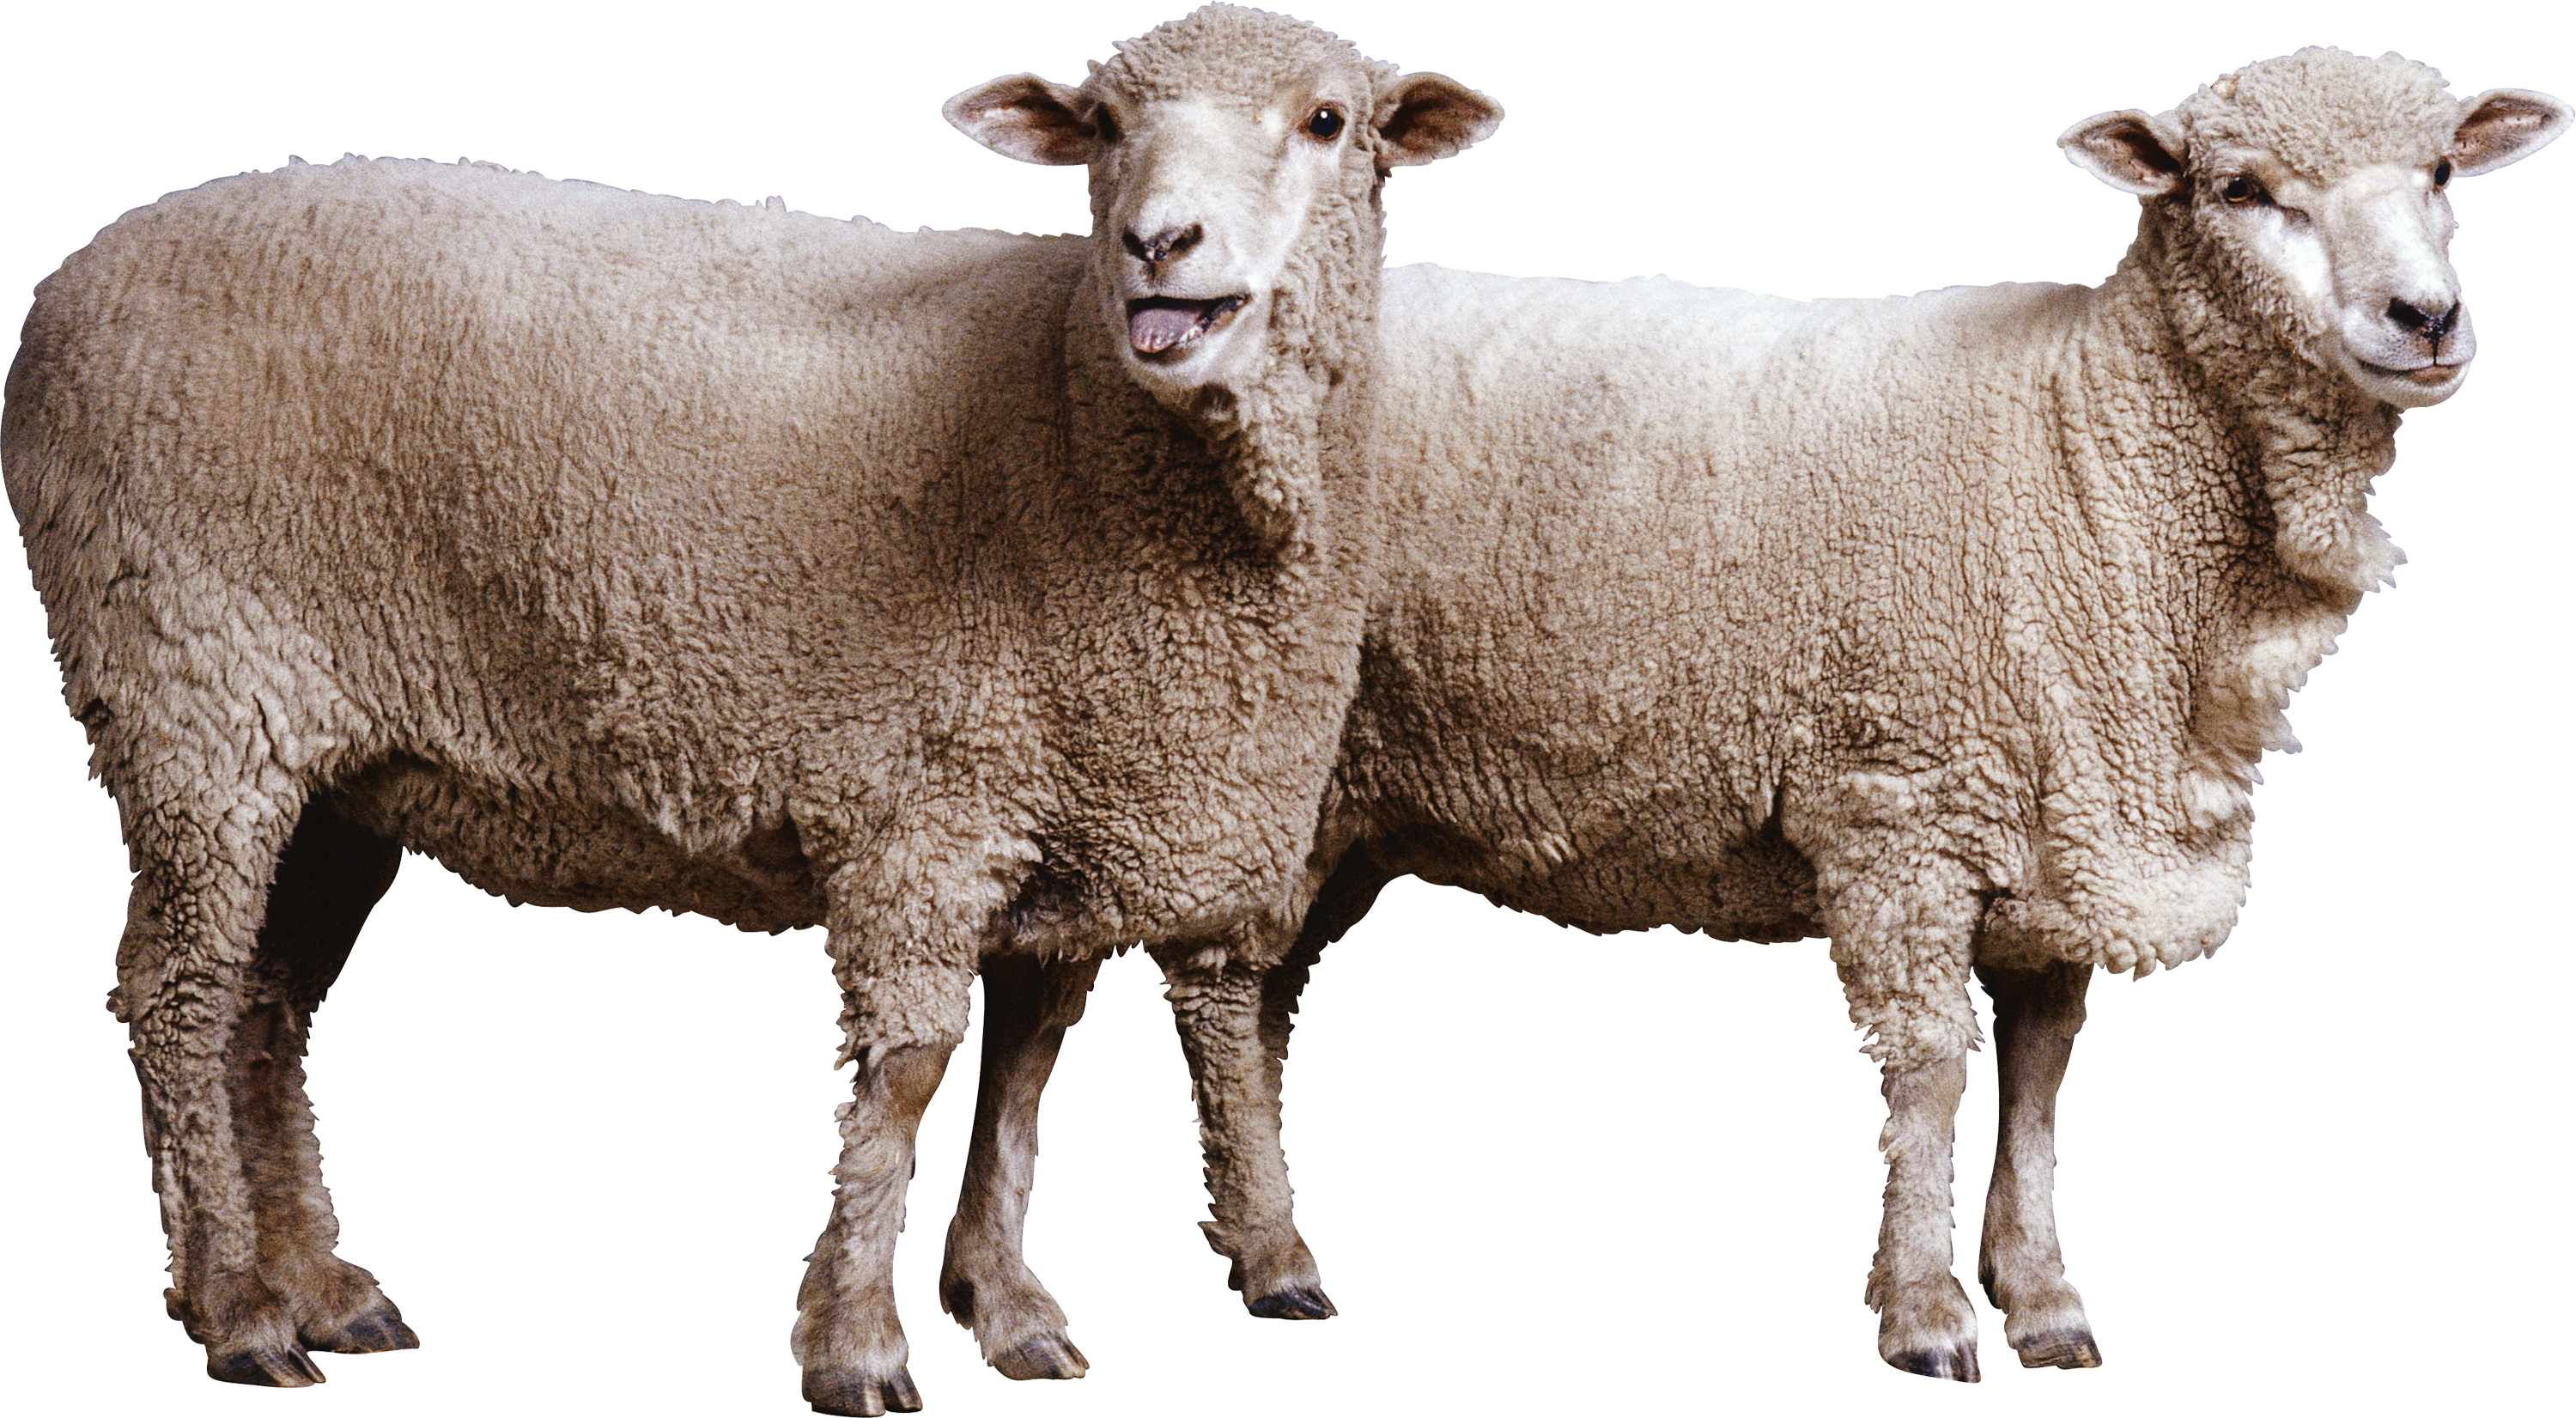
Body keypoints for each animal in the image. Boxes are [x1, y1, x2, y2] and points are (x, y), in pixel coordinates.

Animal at [0, 7, 1499, 1412]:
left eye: (1327, 120)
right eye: (1106, 124)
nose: (1157, 241)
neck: (1078, 417)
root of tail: (60, 294)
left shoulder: (1062, 809)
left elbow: (1023, 1067)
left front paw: (1007, 1307)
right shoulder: (926, 803)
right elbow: (913, 1068)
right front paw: (859, 1345)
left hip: (336, 763)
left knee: (267, 1002)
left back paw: (330, 1291)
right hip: (193, 693)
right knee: (178, 992)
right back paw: (236, 1310)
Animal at [951, 47, 2568, 1381]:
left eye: (2441, 168)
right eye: (2240, 188)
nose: (2428, 316)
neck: (2089, 443)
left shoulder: (2060, 814)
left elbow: (2042, 1073)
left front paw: (2042, 1299)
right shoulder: (1902, 801)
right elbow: (1934, 1065)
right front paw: (1924, 1316)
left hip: (1349, 785)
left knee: (1266, 992)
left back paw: (1248, 1238)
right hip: (1259, 742)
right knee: (1224, 989)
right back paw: (1281, 1259)